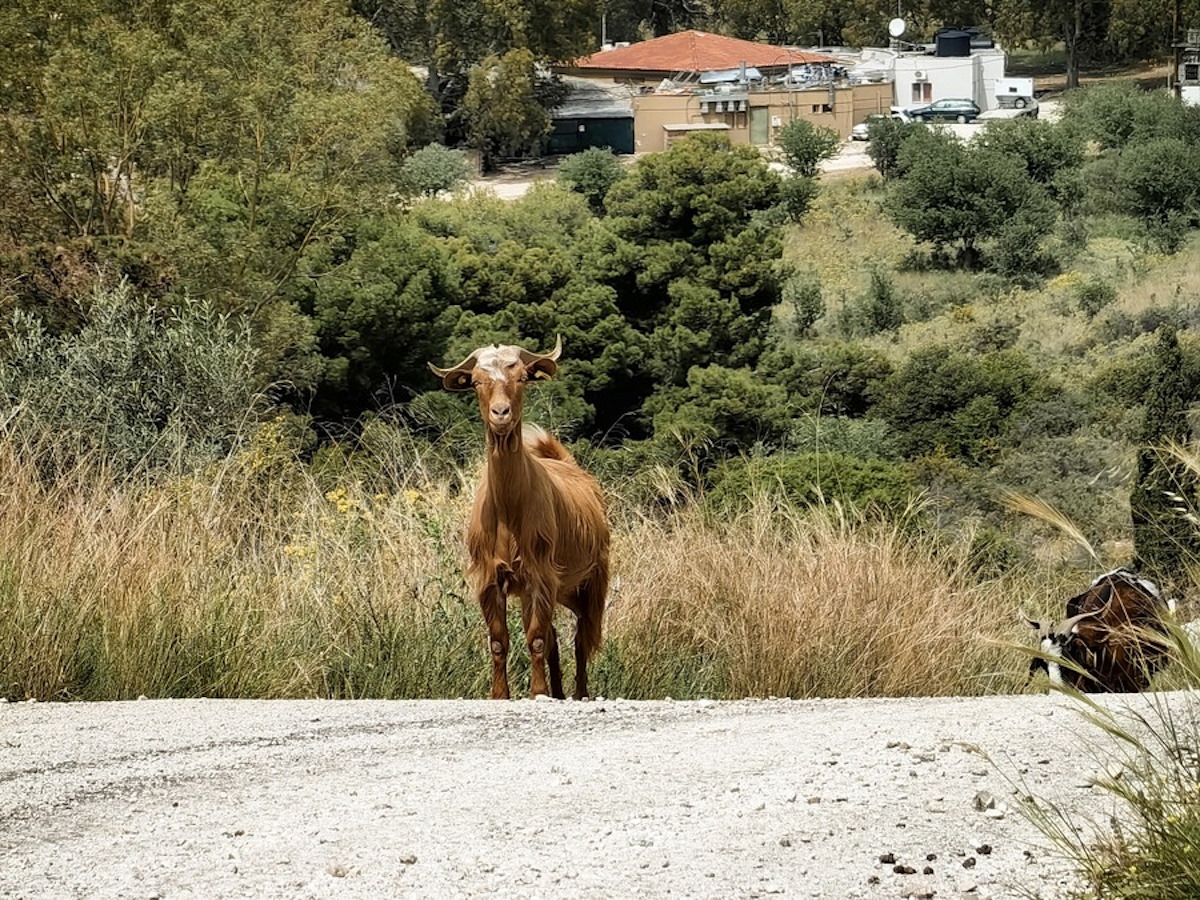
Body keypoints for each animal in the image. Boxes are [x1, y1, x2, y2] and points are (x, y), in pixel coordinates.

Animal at [429, 336, 609, 696]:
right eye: (476, 382)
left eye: (522, 377)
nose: (501, 413)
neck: (509, 509)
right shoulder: (490, 577)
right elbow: (500, 641)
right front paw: (501, 695)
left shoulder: (540, 573)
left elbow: (536, 639)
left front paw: (537, 692)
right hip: (556, 588)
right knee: (558, 638)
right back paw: (559, 693)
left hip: (591, 579)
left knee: (582, 637)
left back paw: (579, 694)